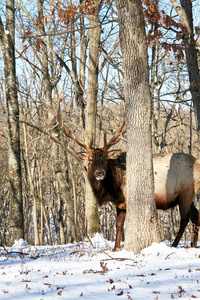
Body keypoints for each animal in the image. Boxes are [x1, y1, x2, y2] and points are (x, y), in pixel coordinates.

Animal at [56, 101, 200, 251]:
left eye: (105, 159)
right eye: (90, 160)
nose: (100, 173)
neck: (112, 189)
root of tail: (198, 163)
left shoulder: (127, 201)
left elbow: (123, 226)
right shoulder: (119, 204)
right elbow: (118, 225)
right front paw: (115, 248)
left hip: (186, 192)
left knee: (185, 219)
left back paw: (175, 244)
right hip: (188, 196)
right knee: (196, 216)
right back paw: (193, 245)